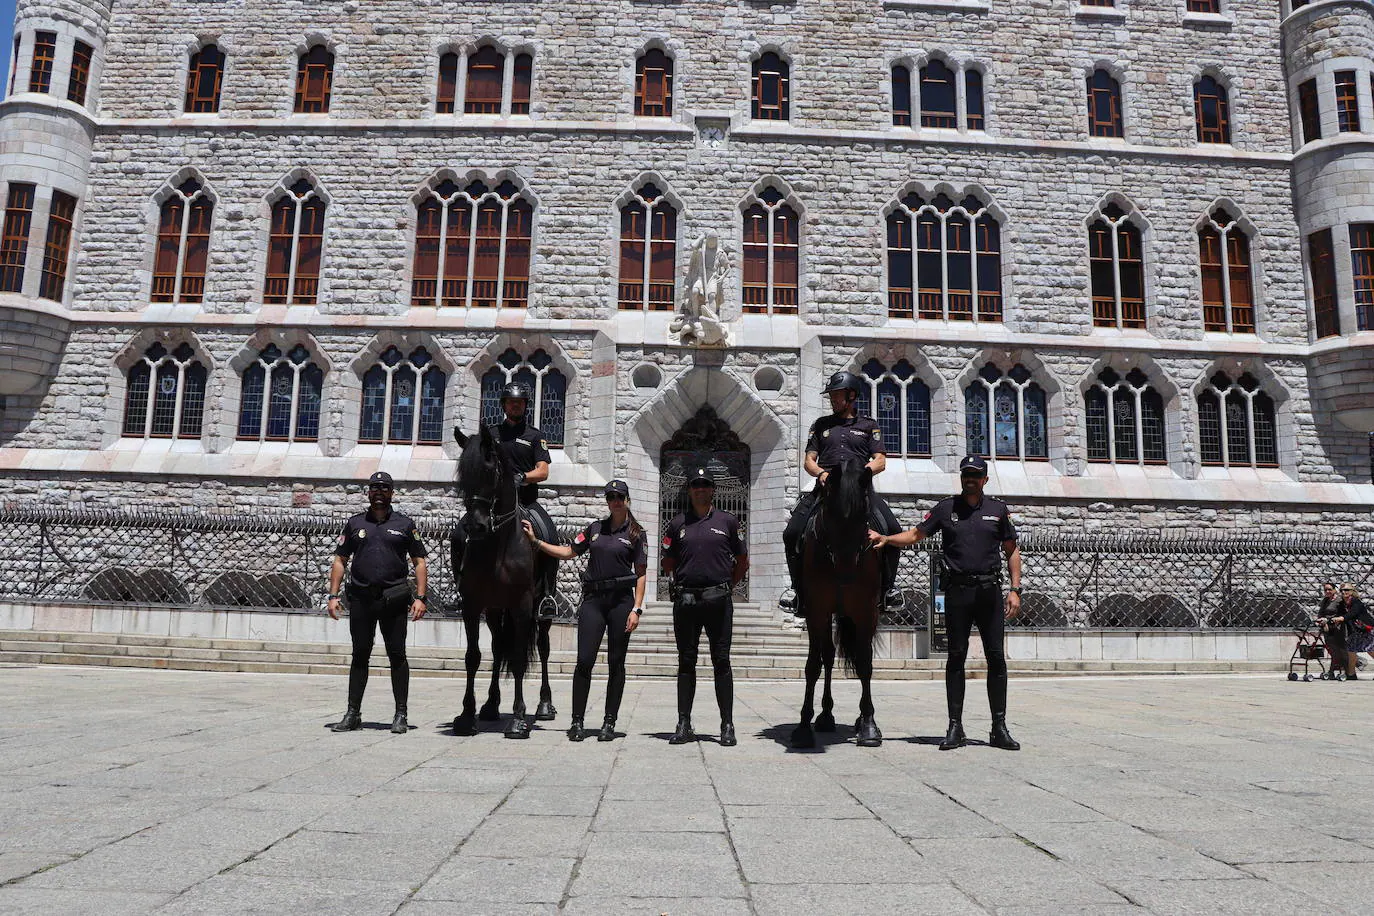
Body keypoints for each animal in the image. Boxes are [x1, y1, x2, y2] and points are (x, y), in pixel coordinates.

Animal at [450, 425, 557, 741]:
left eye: (491, 471)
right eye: (463, 474)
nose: (475, 526)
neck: (497, 543)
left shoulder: (522, 605)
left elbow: (520, 659)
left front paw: (519, 719)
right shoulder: (473, 605)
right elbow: (473, 656)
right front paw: (466, 715)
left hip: (539, 609)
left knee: (543, 647)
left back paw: (544, 705)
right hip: (496, 609)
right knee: (498, 648)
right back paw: (491, 705)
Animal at [791, 458, 884, 752]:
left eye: (864, 515)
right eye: (829, 512)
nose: (845, 572)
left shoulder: (866, 612)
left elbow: (865, 663)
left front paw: (869, 725)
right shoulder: (816, 611)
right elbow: (813, 665)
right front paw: (803, 727)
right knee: (828, 657)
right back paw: (825, 715)